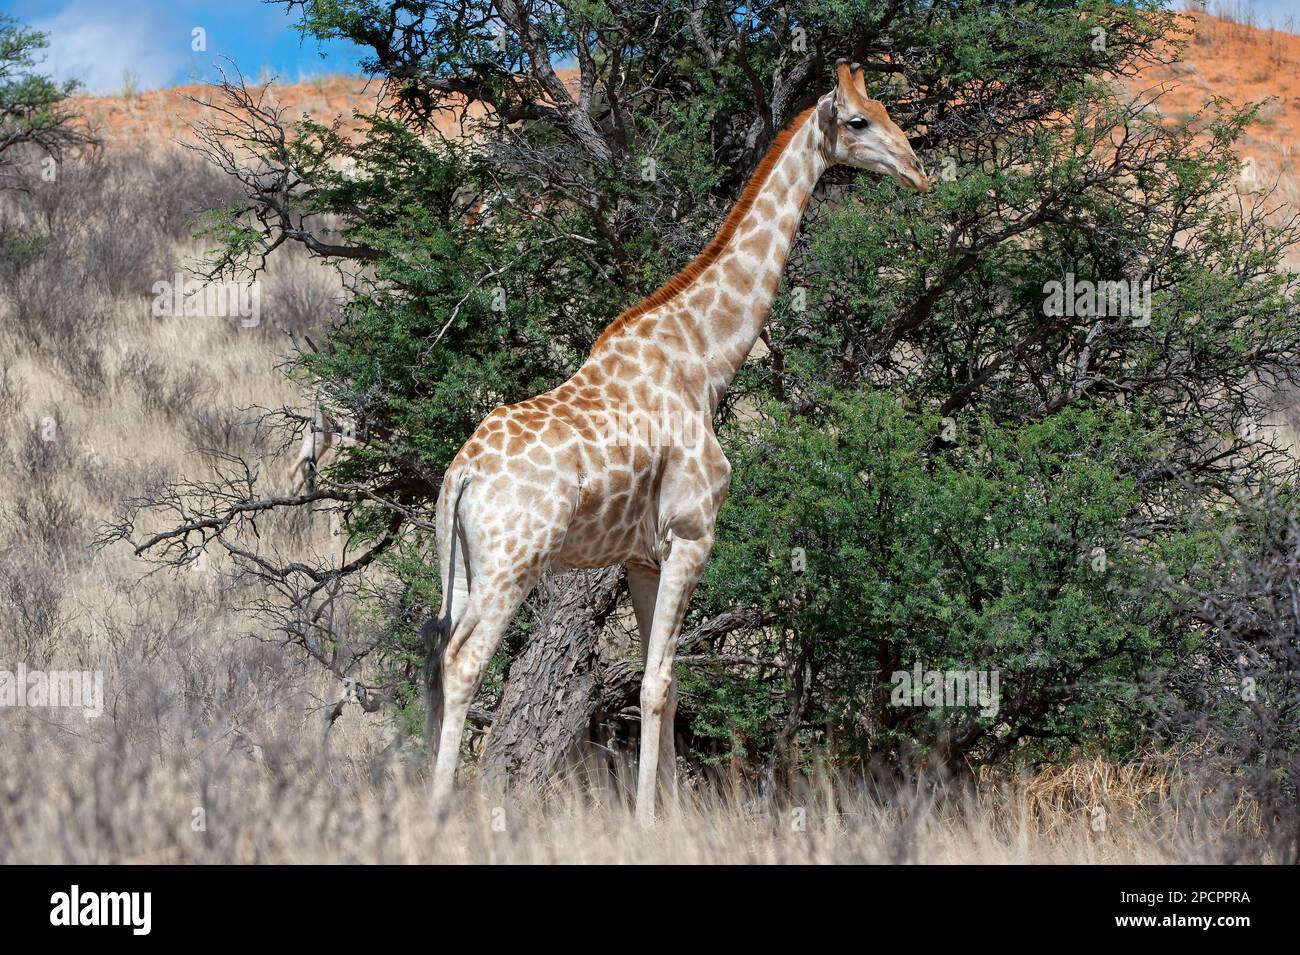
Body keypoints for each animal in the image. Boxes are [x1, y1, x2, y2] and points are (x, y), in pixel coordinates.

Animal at [431, 61, 930, 821]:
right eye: (858, 121)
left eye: (888, 111)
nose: (919, 170)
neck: (704, 359)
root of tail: (460, 473)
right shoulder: (695, 532)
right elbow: (658, 683)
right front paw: (645, 819)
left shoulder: (644, 554)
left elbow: (660, 680)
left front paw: (667, 814)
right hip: (512, 564)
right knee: (464, 662)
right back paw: (437, 812)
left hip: (460, 566)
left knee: (434, 659)